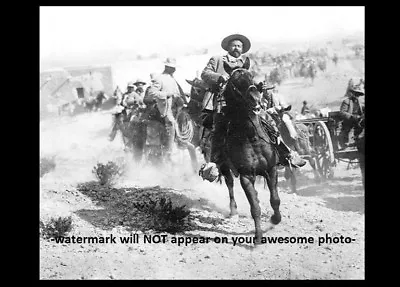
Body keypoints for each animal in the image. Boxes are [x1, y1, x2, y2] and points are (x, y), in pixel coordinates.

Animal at [219, 60, 282, 245]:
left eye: (251, 76)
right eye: (234, 82)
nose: (255, 98)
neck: (252, 137)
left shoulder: (271, 169)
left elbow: (275, 200)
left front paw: (275, 219)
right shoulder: (246, 176)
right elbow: (255, 207)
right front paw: (258, 237)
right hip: (225, 168)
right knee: (230, 186)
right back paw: (233, 212)